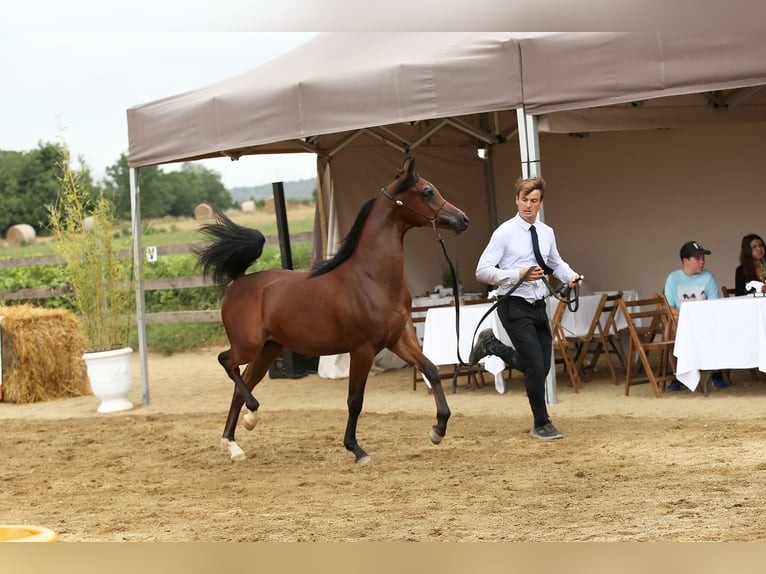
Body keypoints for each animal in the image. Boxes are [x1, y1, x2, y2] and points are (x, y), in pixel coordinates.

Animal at [195, 158, 472, 468]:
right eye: (426, 191)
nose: (462, 219)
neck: (372, 279)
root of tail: (240, 282)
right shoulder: (363, 350)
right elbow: (355, 401)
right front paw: (356, 450)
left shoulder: (399, 339)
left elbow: (432, 370)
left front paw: (438, 430)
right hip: (248, 346)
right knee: (226, 362)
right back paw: (249, 418)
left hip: (267, 350)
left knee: (238, 387)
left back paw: (235, 443)